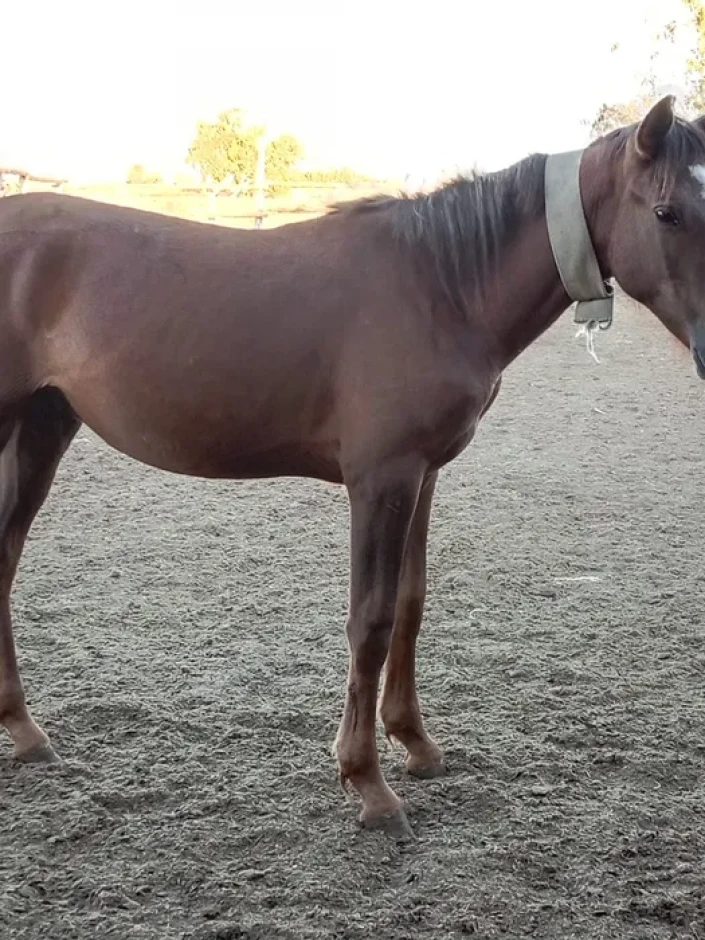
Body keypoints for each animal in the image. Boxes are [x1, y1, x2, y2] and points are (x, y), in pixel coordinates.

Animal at [1, 96, 704, 839]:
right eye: (666, 212)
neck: (440, 286)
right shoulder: (381, 480)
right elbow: (369, 620)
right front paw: (367, 783)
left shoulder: (423, 474)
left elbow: (409, 604)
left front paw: (415, 743)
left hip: (44, 423)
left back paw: (23, 730)